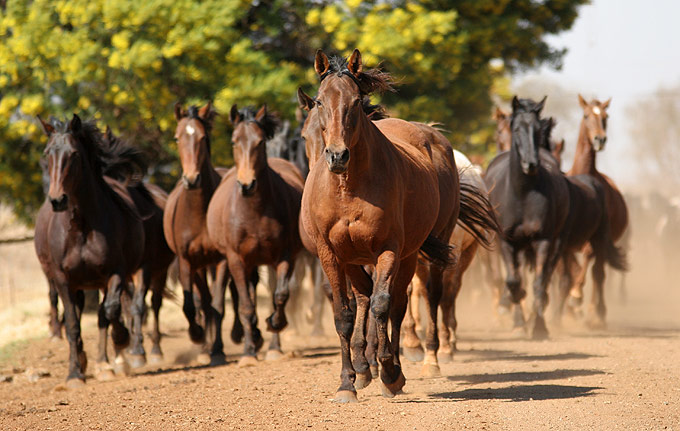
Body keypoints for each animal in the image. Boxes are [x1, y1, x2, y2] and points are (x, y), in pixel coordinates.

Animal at [163, 103, 243, 366]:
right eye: (177, 138)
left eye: (203, 137)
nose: (191, 179)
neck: (198, 212)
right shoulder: (187, 261)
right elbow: (192, 305)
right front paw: (198, 336)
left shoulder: (222, 261)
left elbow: (219, 304)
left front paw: (218, 350)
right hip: (199, 266)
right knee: (203, 301)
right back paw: (203, 344)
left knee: (231, 296)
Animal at [206, 104, 304, 364]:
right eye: (234, 141)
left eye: (260, 142)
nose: (247, 184)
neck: (255, 210)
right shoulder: (236, 260)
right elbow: (246, 306)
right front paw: (249, 352)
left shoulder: (285, 256)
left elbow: (280, 296)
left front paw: (273, 326)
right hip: (228, 261)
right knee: (225, 301)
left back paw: (269, 344)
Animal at [300, 49, 460, 404]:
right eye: (320, 101)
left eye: (355, 102)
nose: (336, 156)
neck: (348, 188)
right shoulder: (332, 254)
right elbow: (344, 314)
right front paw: (347, 382)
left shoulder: (388, 250)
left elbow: (382, 305)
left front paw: (389, 373)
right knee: (369, 300)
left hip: (418, 252)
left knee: (410, 302)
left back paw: (415, 363)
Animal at [486, 96, 572, 340]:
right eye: (517, 128)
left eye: (536, 130)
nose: (531, 164)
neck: (522, 193)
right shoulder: (507, 241)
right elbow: (514, 281)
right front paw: (515, 314)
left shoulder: (543, 241)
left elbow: (539, 283)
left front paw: (540, 327)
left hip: (555, 244)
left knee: (546, 279)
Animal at [564, 95, 628, 328]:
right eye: (586, 115)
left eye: (606, 116)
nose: (600, 139)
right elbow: (571, 270)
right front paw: (572, 307)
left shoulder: (595, 240)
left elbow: (590, 270)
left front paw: (576, 297)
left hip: (600, 243)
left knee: (598, 274)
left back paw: (596, 313)